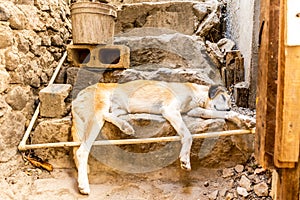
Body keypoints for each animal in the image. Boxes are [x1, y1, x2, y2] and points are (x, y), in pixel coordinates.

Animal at [71, 79, 252, 194]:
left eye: (229, 103)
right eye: (223, 97)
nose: (228, 108)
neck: (196, 93)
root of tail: (77, 96)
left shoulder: (194, 111)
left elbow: (218, 114)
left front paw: (242, 118)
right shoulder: (170, 110)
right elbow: (188, 135)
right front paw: (185, 159)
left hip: (117, 109)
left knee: (108, 116)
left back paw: (126, 127)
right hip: (98, 109)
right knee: (82, 151)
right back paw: (83, 185)